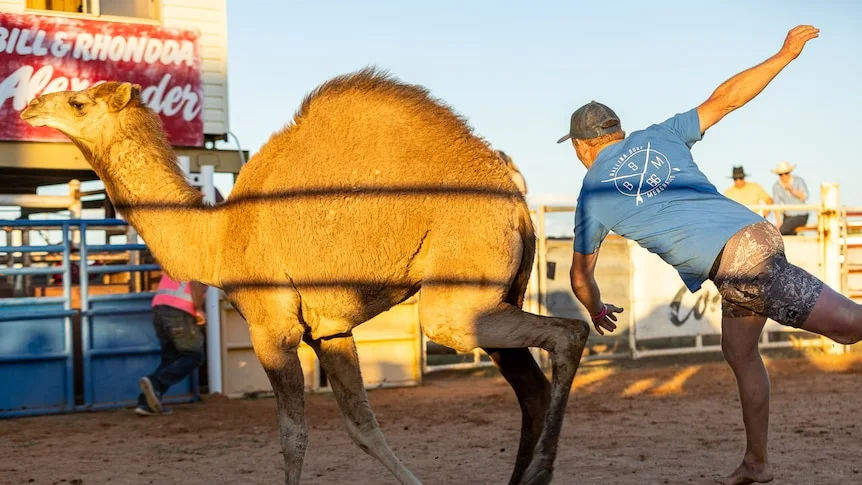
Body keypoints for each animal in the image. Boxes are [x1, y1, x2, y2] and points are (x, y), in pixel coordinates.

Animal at [20, 69, 592, 484]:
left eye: (79, 103)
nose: (30, 105)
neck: (217, 237)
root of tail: (516, 200)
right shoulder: (330, 330)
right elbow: (363, 427)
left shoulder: (271, 326)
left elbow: (292, 436)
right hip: (497, 292)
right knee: (531, 388)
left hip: (458, 289)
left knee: (567, 334)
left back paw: (541, 470)